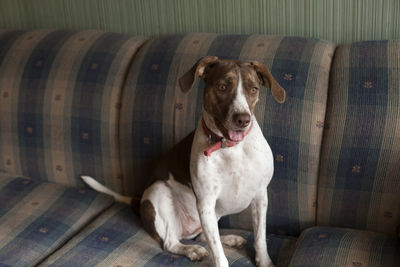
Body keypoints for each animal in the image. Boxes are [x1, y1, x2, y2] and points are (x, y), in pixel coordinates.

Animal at [83, 57, 286, 267]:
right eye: (222, 87)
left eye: (253, 89)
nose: (243, 119)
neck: (231, 149)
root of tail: (138, 202)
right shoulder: (205, 203)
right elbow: (218, 254)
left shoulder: (260, 197)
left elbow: (260, 238)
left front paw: (264, 261)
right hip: (159, 190)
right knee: (171, 242)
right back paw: (192, 250)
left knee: (202, 236)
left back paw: (229, 239)